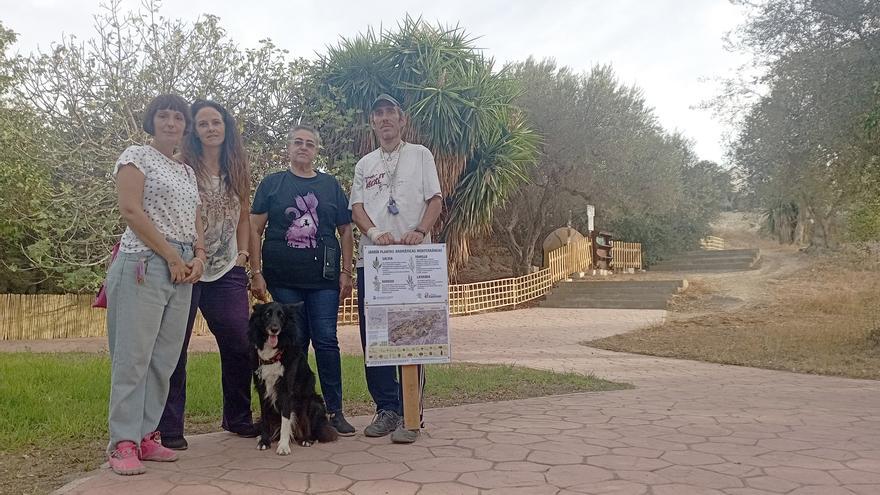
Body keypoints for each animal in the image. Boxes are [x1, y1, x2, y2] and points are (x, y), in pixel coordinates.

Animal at [251, 300, 340, 456]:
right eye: (267, 314)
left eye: (282, 316)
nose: (274, 329)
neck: (274, 356)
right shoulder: (262, 391)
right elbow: (265, 418)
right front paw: (264, 441)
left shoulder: (287, 392)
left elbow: (286, 420)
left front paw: (283, 446)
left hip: (314, 403)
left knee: (306, 422)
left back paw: (306, 439)